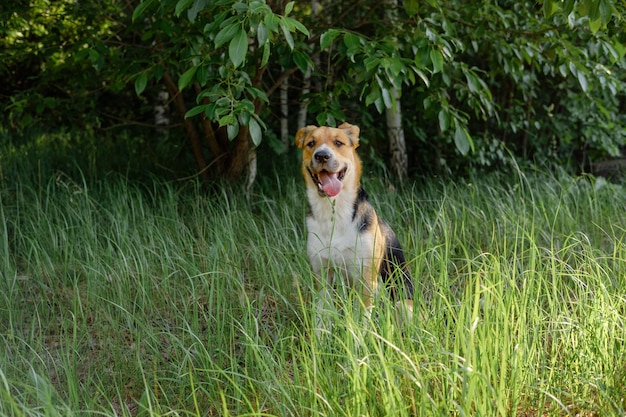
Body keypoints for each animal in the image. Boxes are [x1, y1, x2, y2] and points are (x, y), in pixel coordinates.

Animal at [294, 122, 412, 320]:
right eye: (311, 143)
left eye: (338, 142)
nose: (322, 155)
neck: (334, 212)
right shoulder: (322, 276)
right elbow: (321, 318)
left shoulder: (366, 279)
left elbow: (361, 321)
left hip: (403, 303)